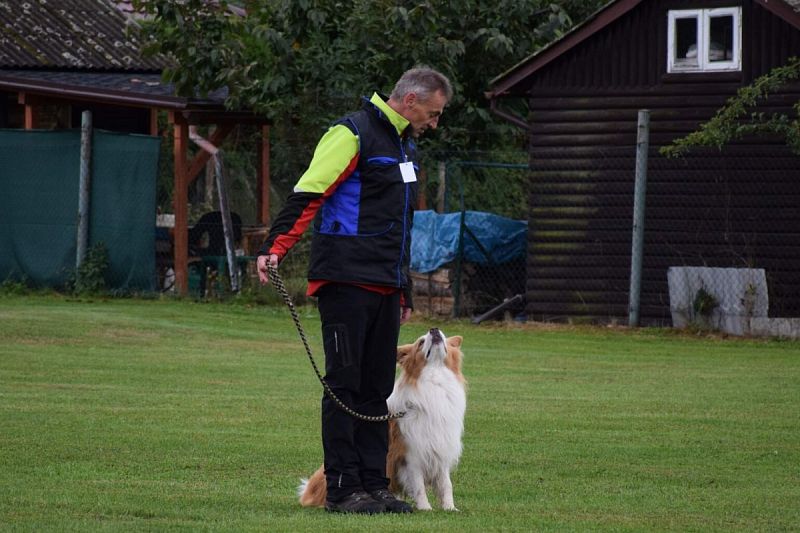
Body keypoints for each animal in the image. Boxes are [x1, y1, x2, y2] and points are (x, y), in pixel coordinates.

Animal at [296, 326, 466, 510]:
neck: (435, 378)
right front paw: (425, 508)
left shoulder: (441, 448)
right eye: (421, 342)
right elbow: (418, 485)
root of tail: (309, 492)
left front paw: (450, 507)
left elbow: (446, 484)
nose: (434, 330)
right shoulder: (411, 454)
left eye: (443, 336)